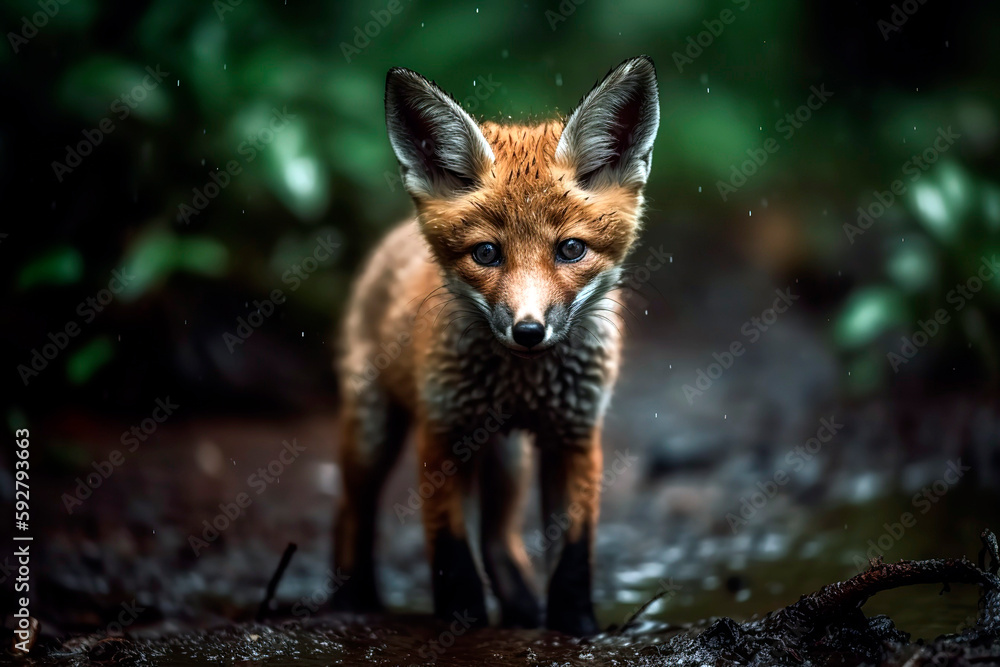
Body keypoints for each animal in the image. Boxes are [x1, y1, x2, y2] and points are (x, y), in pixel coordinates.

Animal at [332, 56, 660, 636]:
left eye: (570, 249)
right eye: (486, 253)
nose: (528, 331)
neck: (518, 386)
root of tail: (389, 240)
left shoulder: (575, 436)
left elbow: (573, 553)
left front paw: (575, 626)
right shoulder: (442, 434)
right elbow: (450, 553)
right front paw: (460, 625)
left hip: (508, 462)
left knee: (498, 539)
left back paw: (522, 609)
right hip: (373, 432)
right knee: (353, 512)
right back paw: (354, 600)